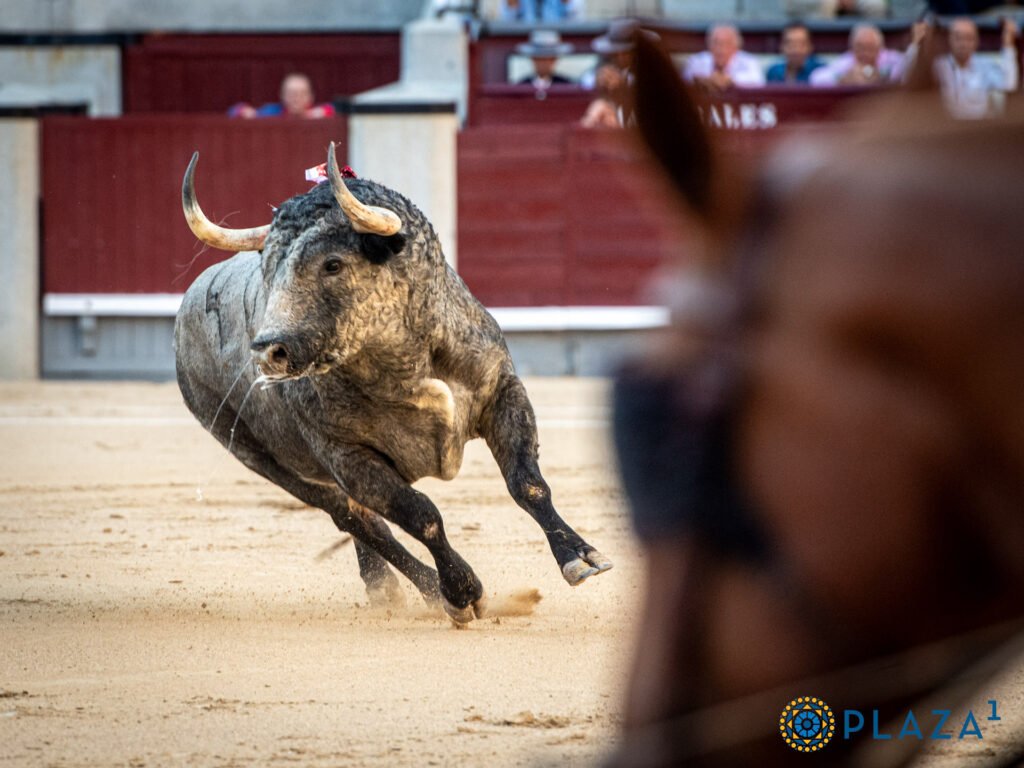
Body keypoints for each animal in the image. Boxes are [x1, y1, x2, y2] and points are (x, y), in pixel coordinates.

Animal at [174, 144, 611, 624]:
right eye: (268, 271)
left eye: (332, 263)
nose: (269, 351)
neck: (403, 363)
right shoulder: (346, 457)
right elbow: (422, 515)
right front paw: (462, 593)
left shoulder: (502, 392)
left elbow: (528, 483)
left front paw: (581, 557)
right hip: (265, 459)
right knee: (357, 520)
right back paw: (428, 589)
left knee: (364, 521)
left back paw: (386, 588)